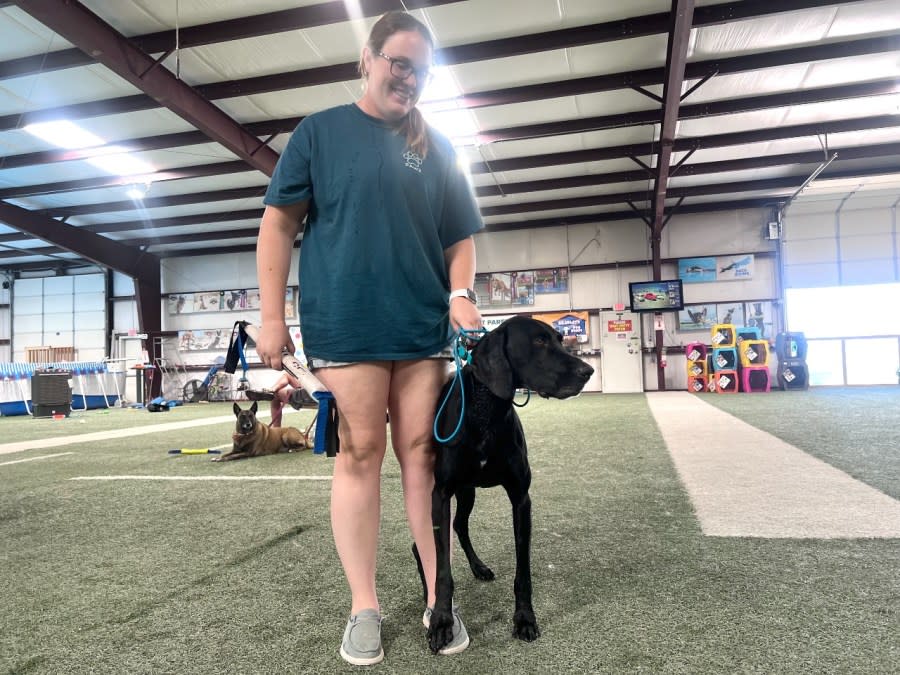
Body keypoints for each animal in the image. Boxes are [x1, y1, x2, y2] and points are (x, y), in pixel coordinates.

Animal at [416, 316, 596, 656]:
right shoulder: (440, 493)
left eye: (560, 338)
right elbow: (443, 570)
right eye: (538, 341)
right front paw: (442, 620)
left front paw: (524, 617)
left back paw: (479, 567)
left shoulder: (520, 498)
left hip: (468, 491)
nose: (587, 371)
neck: (486, 411)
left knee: (460, 525)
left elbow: (522, 569)